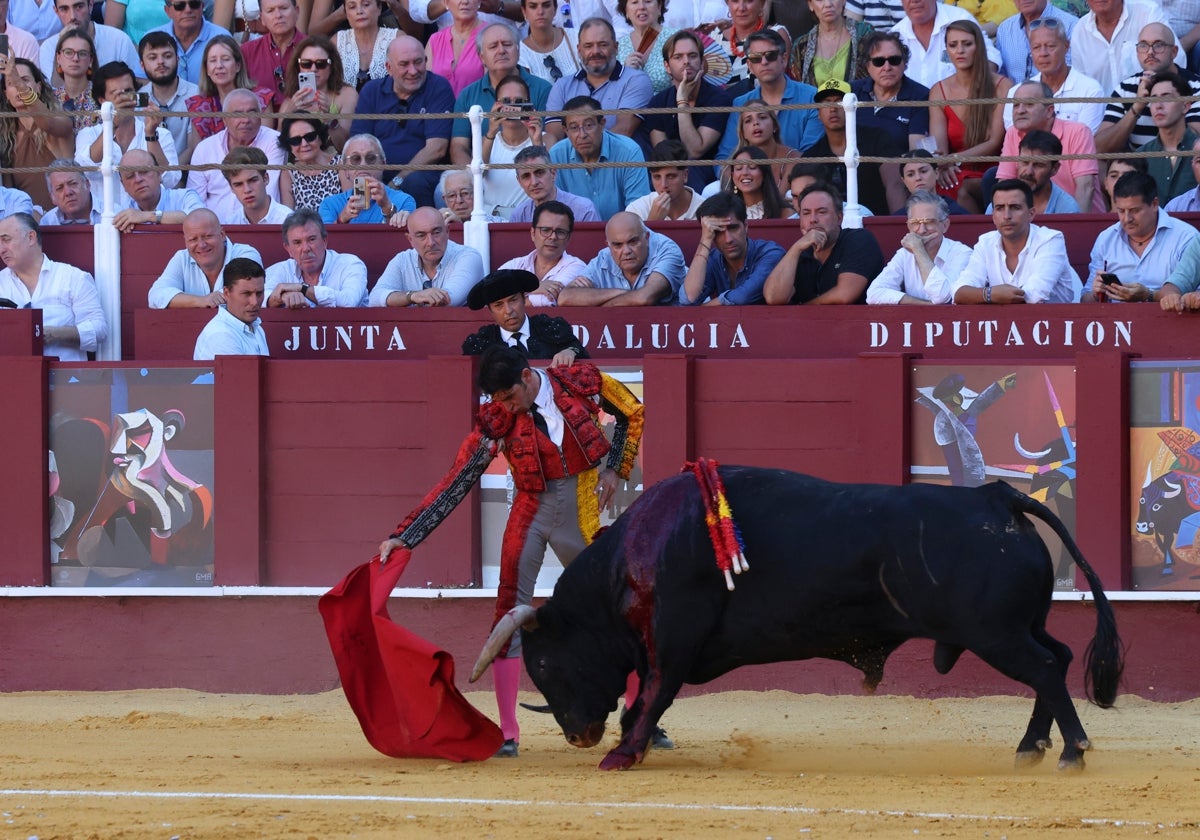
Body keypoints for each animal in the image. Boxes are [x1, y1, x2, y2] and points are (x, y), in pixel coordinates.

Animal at [470, 470, 1123, 772]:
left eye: (544, 661)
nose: (577, 735)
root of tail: (996, 496)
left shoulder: (673, 640)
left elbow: (653, 696)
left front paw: (622, 755)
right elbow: (648, 699)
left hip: (996, 634)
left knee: (1045, 668)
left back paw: (1071, 751)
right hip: (1016, 627)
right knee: (1058, 659)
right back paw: (1031, 746)